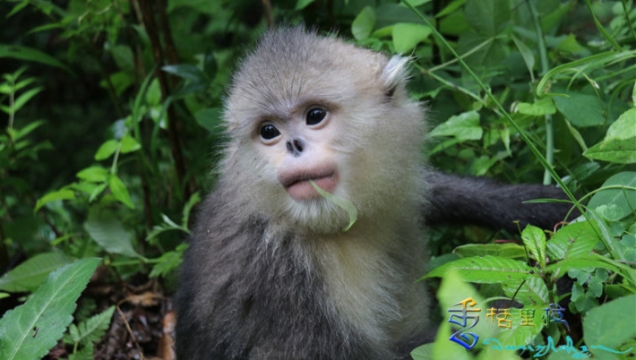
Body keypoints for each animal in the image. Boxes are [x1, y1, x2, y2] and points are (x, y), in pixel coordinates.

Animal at [175, 26, 576, 358]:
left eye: (315, 115)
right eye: (269, 131)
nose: (292, 145)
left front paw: (547, 204)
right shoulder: (272, 268)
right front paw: (521, 308)